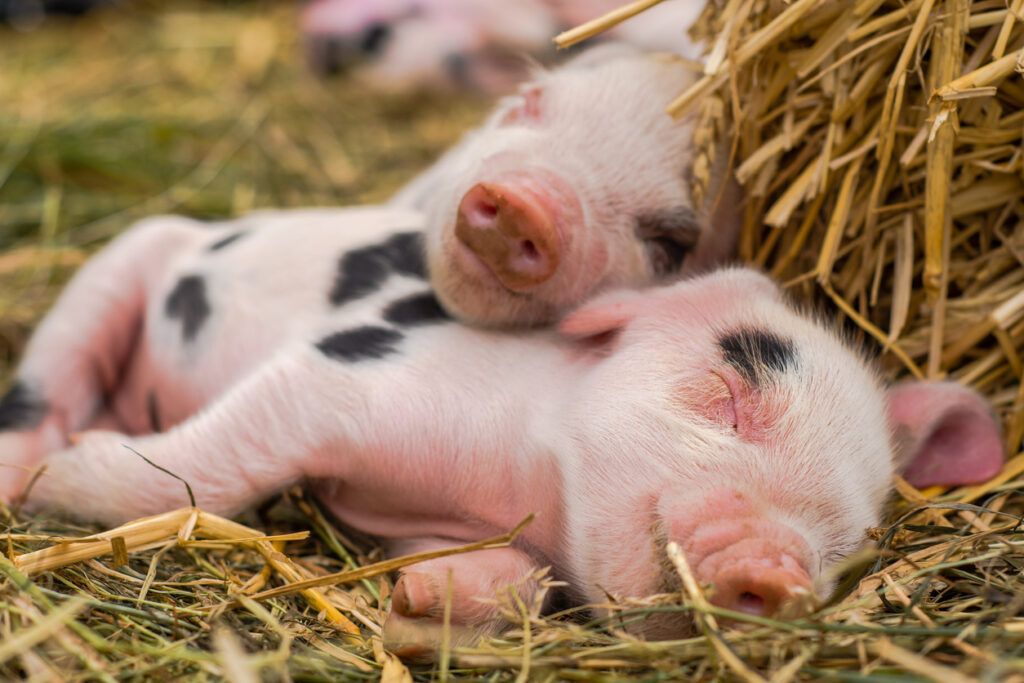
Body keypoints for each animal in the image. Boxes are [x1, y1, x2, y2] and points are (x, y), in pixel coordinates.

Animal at [0, 209, 1004, 654]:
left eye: (848, 544)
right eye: (728, 389)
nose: (774, 566)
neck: (515, 481)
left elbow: (517, 581)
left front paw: (415, 602)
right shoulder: (338, 376)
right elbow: (216, 465)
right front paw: (73, 475)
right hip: (116, 264)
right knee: (45, 381)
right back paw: (36, 465)